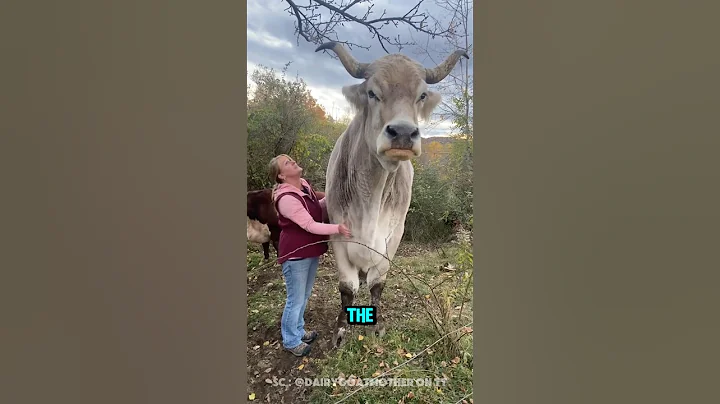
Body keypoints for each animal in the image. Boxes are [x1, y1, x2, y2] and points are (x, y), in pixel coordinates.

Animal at [315, 41, 468, 347]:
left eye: (421, 95)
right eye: (372, 92)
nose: (403, 132)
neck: (370, 197)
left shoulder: (394, 235)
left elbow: (378, 283)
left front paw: (378, 325)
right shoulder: (337, 232)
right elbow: (347, 287)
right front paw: (340, 330)